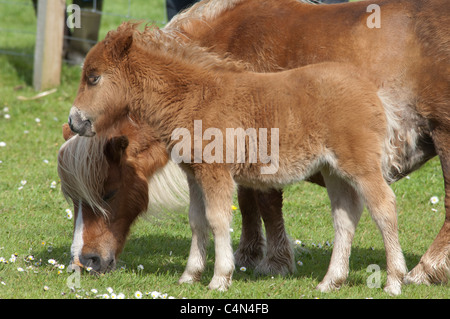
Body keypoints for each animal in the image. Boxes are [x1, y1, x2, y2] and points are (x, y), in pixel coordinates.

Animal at [68, 23, 410, 296]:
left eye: (94, 77)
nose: (74, 121)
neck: (194, 97)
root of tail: (372, 92)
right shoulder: (194, 173)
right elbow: (197, 220)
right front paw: (190, 275)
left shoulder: (216, 171)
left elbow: (218, 219)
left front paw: (220, 278)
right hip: (333, 171)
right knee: (345, 218)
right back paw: (331, 282)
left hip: (360, 166)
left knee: (384, 208)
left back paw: (394, 281)